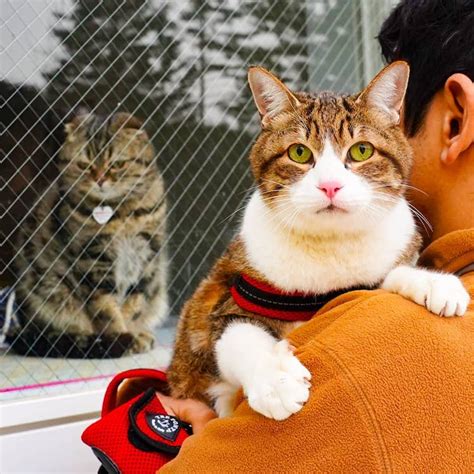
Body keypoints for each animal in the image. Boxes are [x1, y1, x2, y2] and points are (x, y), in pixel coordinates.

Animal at [9, 113, 168, 358]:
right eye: (84, 165)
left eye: (117, 164)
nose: (100, 179)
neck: (121, 215)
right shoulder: (92, 261)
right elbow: (106, 309)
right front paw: (121, 337)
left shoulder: (147, 258)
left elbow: (134, 304)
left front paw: (133, 333)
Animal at [168, 61, 468, 420]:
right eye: (299, 152)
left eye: (361, 150)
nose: (330, 186)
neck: (330, 249)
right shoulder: (220, 304)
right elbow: (239, 337)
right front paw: (276, 381)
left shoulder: (365, 279)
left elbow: (385, 277)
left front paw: (435, 283)